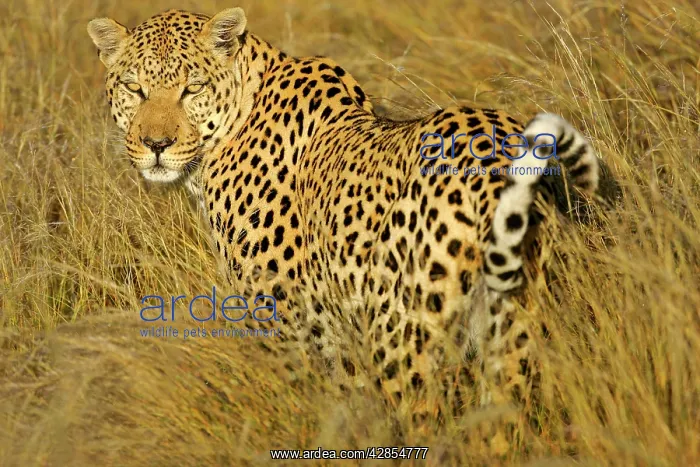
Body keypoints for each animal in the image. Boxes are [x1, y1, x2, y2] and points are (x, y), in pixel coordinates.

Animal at [88, 7, 601, 455]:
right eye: (134, 88)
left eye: (191, 89)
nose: (156, 144)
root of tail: (494, 154)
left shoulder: (290, 323)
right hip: (514, 326)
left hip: (403, 332)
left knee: (425, 425)